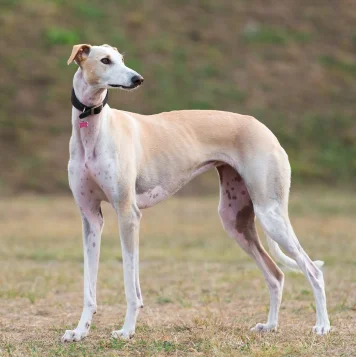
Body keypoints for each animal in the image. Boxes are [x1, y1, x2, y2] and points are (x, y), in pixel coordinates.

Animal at [62, 43, 330, 340]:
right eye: (106, 61)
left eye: (122, 59)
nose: (137, 79)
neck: (94, 130)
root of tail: (264, 129)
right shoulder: (91, 218)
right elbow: (89, 286)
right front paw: (79, 331)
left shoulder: (128, 214)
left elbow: (132, 286)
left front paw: (127, 330)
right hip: (235, 220)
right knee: (276, 275)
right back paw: (270, 325)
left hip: (270, 214)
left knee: (313, 270)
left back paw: (322, 325)